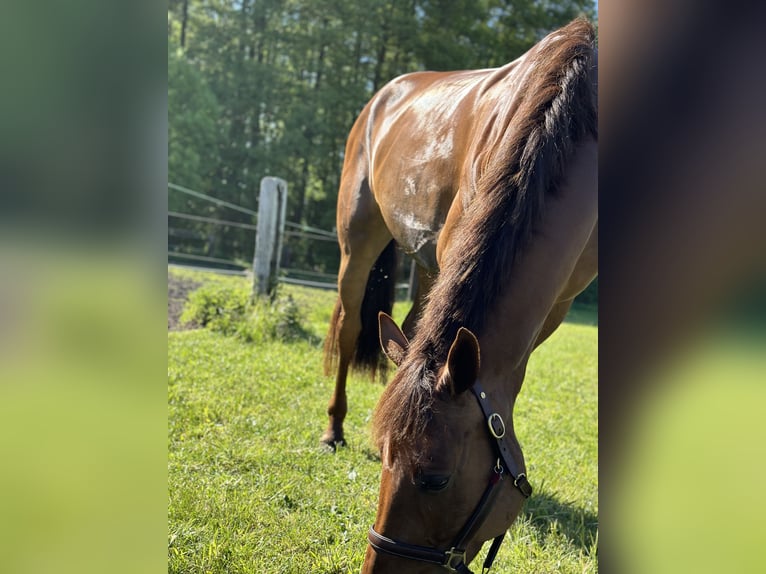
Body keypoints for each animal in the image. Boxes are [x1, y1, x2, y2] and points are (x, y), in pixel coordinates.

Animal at [324, 20, 600, 572]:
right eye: (383, 457)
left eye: (434, 480)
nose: (376, 569)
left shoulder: (556, 306)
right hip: (357, 243)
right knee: (348, 329)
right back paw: (333, 429)